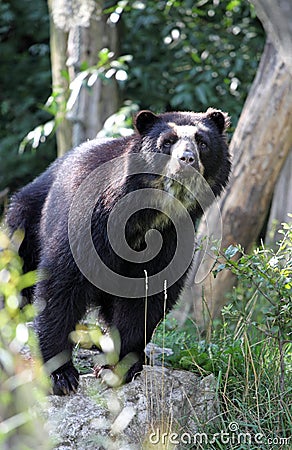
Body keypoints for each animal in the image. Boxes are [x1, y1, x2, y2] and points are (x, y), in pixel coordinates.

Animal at [5, 109, 232, 394]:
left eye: (202, 143)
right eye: (167, 142)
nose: (187, 160)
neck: (153, 211)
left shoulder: (173, 236)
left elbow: (146, 295)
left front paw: (117, 367)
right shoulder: (90, 222)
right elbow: (61, 283)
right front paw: (61, 375)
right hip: (26, 217)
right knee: (17, 267)